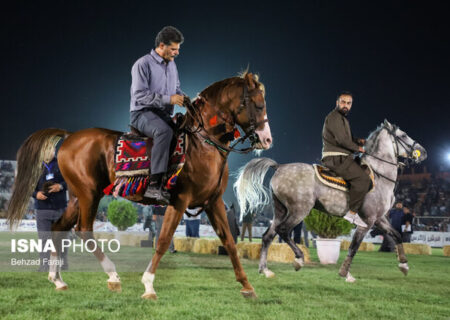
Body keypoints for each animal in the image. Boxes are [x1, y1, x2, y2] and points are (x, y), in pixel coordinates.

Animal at [7, 72, 270, 300]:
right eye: (258, 105)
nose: (267, 139)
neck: (202, 143)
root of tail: (71, 136)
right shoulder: (179, 201)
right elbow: (163, 241)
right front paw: (149, 285)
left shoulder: (213, 202)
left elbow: (229, 242)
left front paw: (247, 286)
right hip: (89, 194)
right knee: (83, 230)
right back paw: (112, 275)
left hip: (76, 197)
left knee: (59, 228)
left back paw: (58, 279)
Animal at [234, 120, 428, 282]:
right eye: (404, 135)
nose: (423, 152)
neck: (379, 176)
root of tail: (280, 166)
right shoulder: (367, 221)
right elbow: (353, 247)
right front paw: (345, 274)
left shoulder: (379, 219)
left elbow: (397, 235)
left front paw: (404, 265)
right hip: (299, 210)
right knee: (283, 231)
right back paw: (299, 259)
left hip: (281, 210)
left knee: (268, 236)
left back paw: (265, 270)